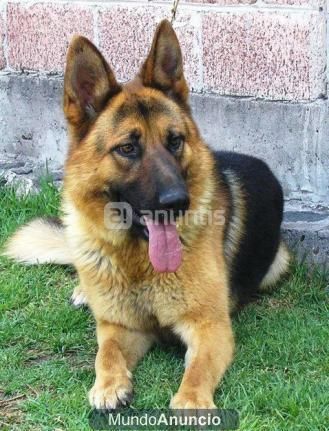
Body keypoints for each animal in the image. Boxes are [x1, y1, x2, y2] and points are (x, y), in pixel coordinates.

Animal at [4, 20, 288, 410]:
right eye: (127, 148)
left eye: (175, 141)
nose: (177, 202)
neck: (137, 262)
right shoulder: (120, 327)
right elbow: (105, 352)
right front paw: (109, 385)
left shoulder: (209, 327)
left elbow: (198, 368)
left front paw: (191, 401)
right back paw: (83, 291)